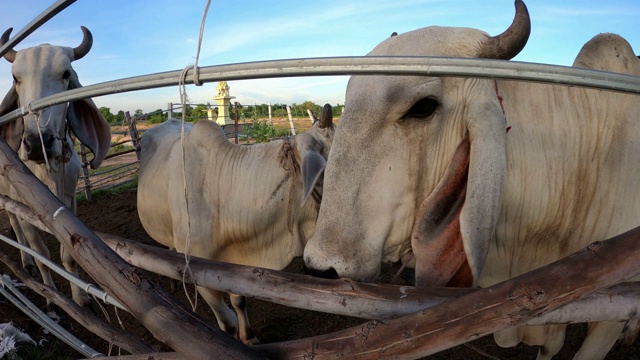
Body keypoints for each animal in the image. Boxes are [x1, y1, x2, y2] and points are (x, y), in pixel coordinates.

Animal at [0, 27, 111, 306]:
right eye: (16, 78)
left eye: (66, 74)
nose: (37, 144)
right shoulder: (24, 207)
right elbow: (42, 254)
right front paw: (51, 296)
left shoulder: (70, 203)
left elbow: (68, 257)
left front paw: (81, 298)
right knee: (14, 223)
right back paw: (26, 261)